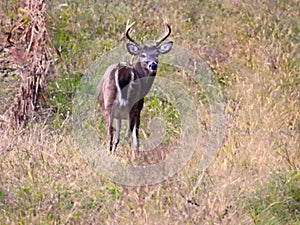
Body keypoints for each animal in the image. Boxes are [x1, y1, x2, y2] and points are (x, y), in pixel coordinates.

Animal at [98, 22, 173, 157]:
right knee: (128, 135)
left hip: (110, 105)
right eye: (143, 55)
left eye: (157, 54)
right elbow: (135, 137)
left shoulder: (118, 114)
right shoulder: (139, 108)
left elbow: (117, 138)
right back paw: (133, 157)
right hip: (132, 104)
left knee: (110, 132)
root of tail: (123, 72)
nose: (153, 65)